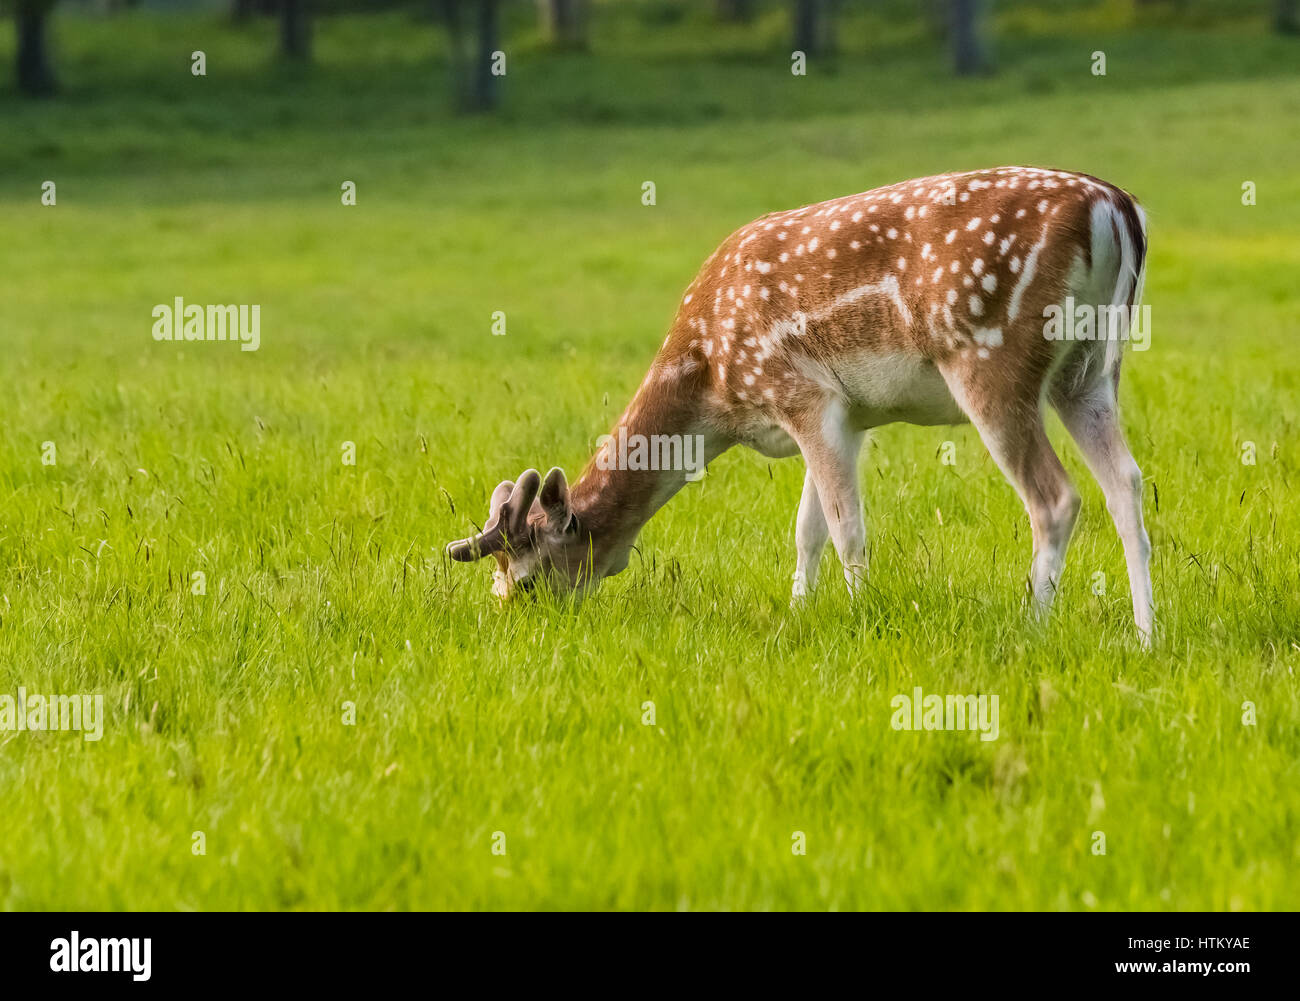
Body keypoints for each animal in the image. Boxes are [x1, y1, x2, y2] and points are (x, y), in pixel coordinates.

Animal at [449, 167, 1159, 644]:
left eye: (529, 576)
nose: (509, 618)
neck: (715, 392)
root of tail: (1116, 209)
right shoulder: (848, 416)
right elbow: (807, 529)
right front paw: (797, 613)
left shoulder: (802, 395)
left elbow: (847, 528)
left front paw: (862, 618)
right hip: (1092, 368)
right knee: (1126, 483)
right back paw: (1146, 634)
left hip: (991, 356)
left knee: (1056, 497)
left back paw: (1032, 628)